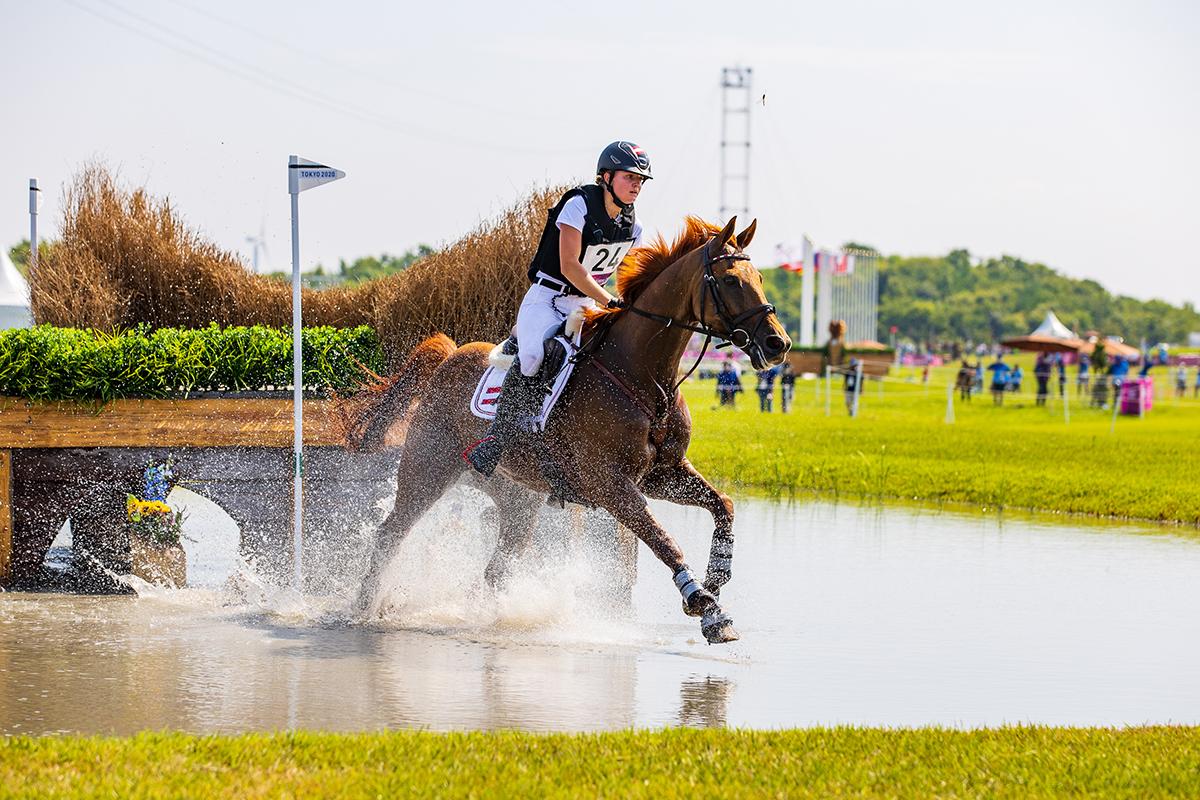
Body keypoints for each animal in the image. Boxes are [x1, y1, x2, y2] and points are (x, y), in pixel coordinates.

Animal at [343, 214, 792, 642]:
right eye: (731, 281)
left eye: (760, 278)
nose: (779, 344)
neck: (643, 377)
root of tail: (450, 355)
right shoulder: (609, 485)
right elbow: (664, 540)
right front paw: (706, 607)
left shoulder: (662, 475)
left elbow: (724, 505)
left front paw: (716, 579)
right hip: (428, 470)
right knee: (389, 536)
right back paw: (364, 611)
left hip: (518, 499)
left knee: (498, 566)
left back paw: (496, 619)